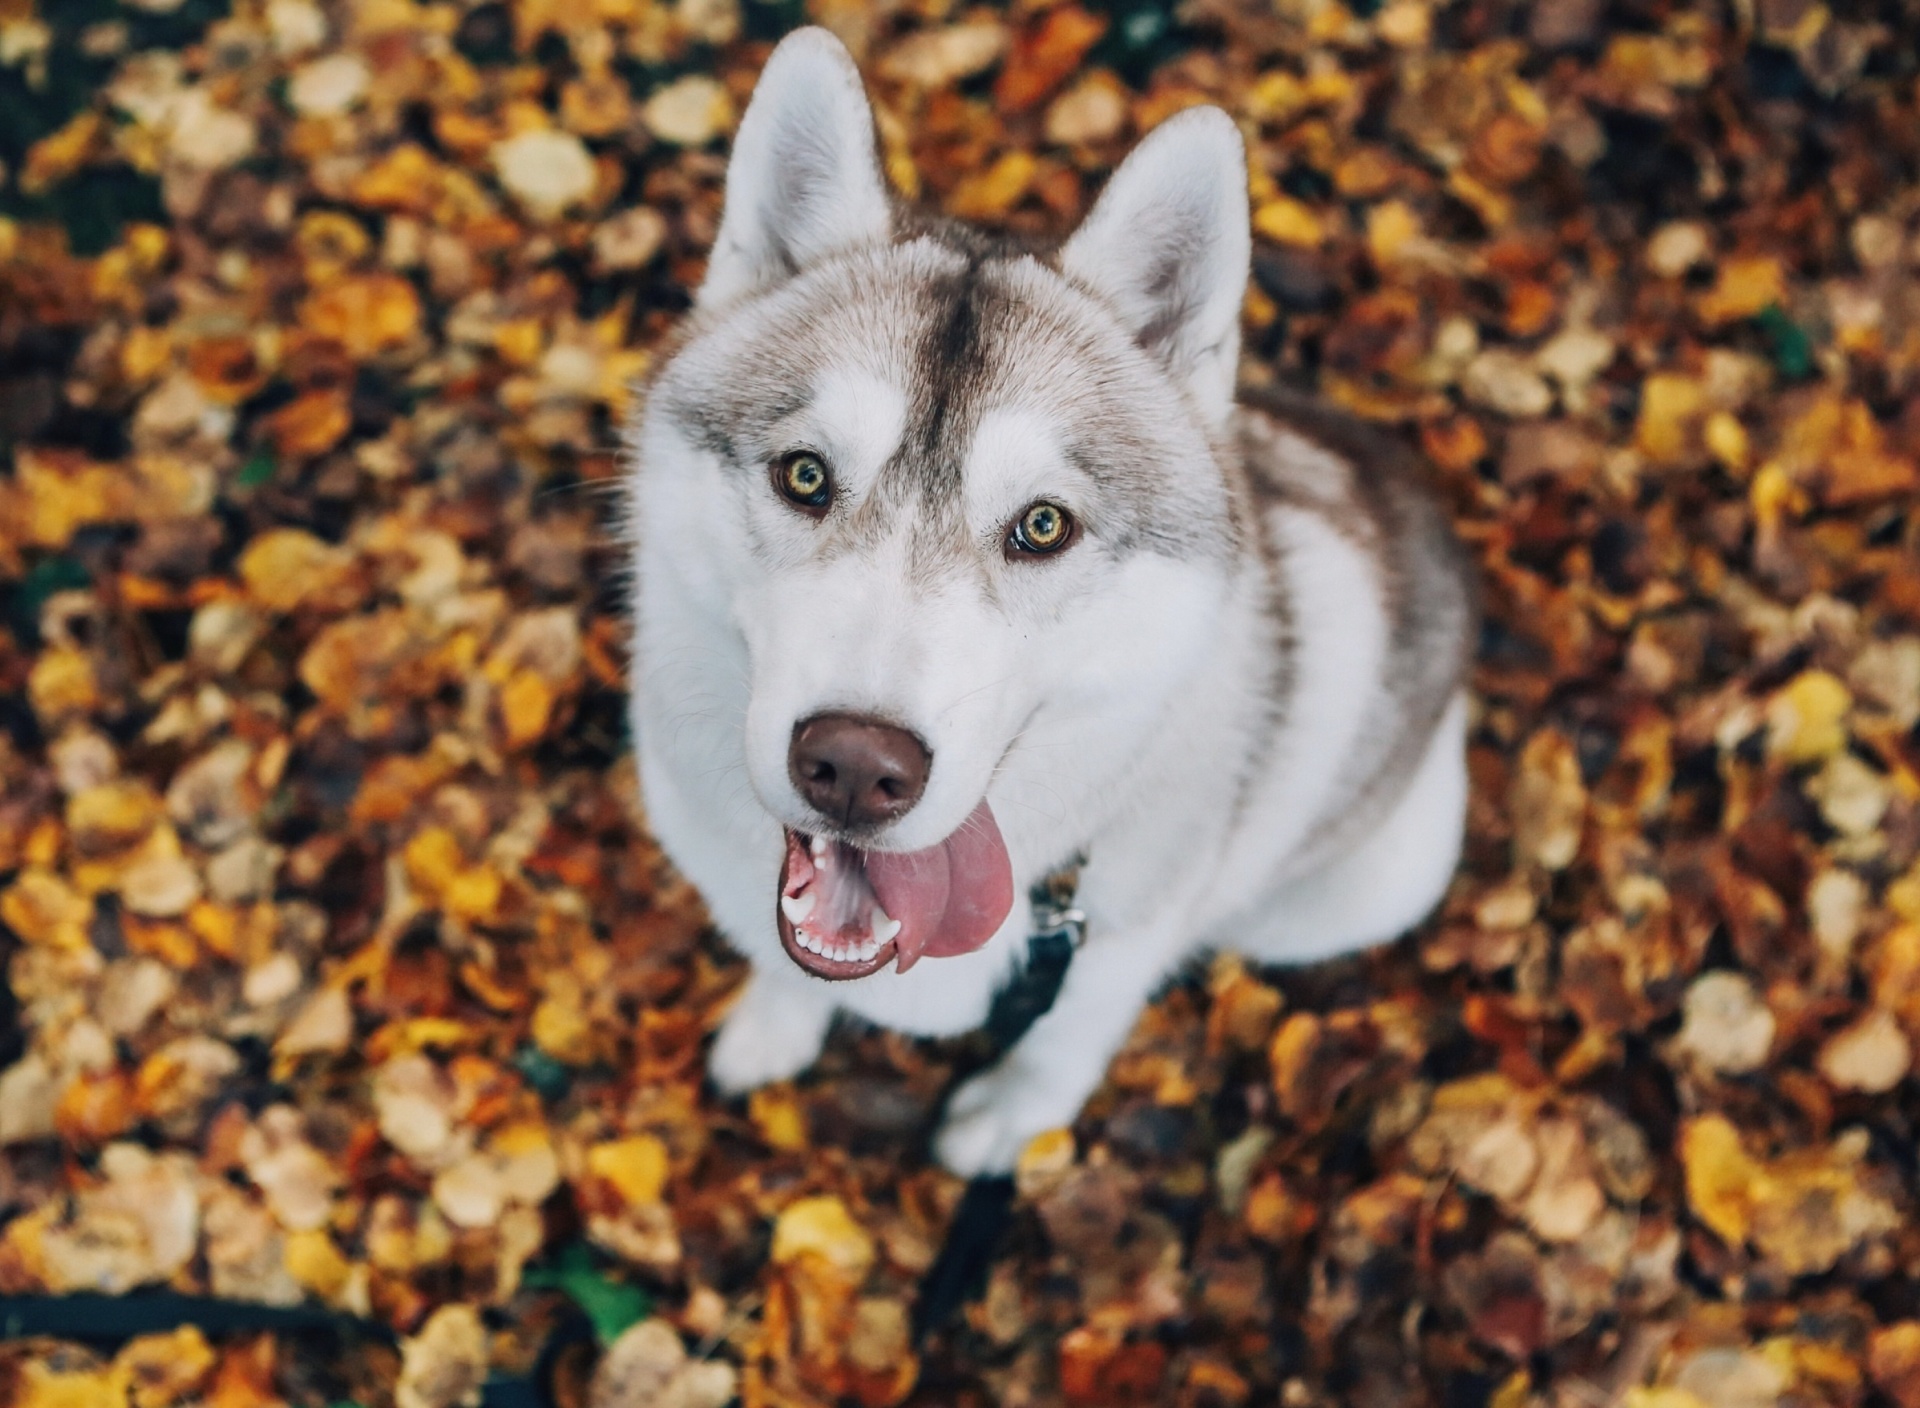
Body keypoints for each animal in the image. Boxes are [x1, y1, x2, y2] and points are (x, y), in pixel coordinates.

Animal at [622, 27, 1474, 1167]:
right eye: (804, 475)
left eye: (1042, 526)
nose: (857, 767)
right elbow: (783, 961)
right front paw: (774, 1025)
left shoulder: (1121, 938)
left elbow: (1068, 1035)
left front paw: (1009, 1119)